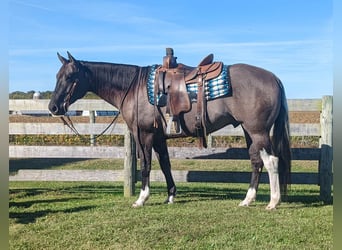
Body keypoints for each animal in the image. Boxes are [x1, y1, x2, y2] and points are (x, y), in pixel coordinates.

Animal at [48, 51, 292, 210]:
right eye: (57, 76)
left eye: (69, 77)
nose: (53, 107)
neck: (133, 88)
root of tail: (274, 78)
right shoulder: (159, 137)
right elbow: (165, 164)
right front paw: (171, 197)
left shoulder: (144, 134)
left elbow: (146, 165)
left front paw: (141, 199)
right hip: (249, 132)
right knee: (256, 162)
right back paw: (247, 200)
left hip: (258, 132)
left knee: (272, 162)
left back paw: (273, 202)